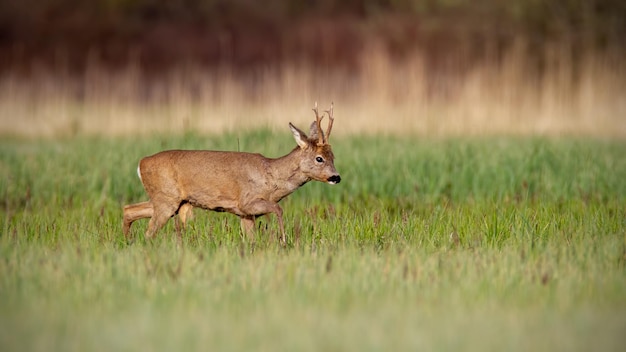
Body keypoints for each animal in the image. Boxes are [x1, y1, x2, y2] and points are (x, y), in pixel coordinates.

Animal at [120, 103, 338, 243]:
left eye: (333, 156)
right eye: (319, 158)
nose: (336, 177)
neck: (271, 177)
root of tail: (141, 163)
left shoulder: (246, 214)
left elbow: (251, 240)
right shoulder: (247, 201)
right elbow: (278, 209)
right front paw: (284, 240)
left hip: (171, 200)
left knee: (128, 210)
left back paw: (127, 242)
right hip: (167, 198)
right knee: (148, 232)